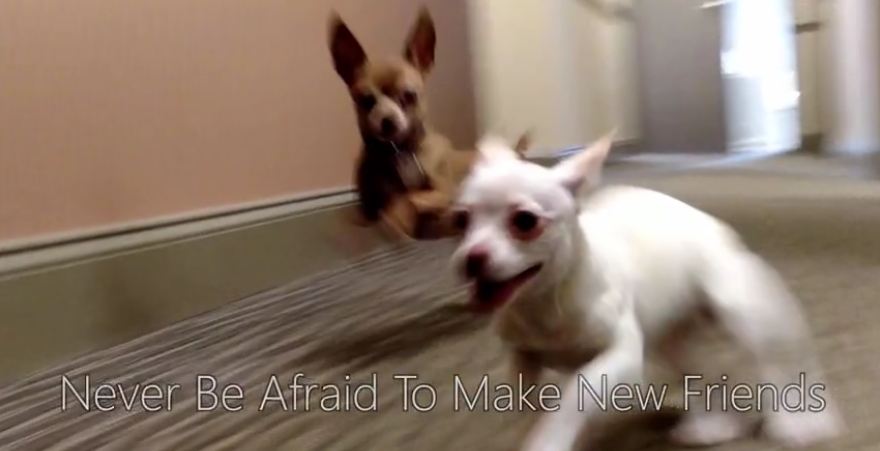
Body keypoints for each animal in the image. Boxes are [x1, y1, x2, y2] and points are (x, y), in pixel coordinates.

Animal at [328, 8, 524, 240]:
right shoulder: (364, 208)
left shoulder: (443, 191)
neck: (400, 151)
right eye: (366, 100)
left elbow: (411, 197)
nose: (388, 121)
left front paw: (402, 215)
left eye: (409, 96)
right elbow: (379, 208)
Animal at [450, 135, 844, 451]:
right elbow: (524, 398)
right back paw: (714, 425)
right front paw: (530, 425)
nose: (472, 258)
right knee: (705, 375)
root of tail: (716, 226)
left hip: (743, 309)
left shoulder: (620, 359)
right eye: (460, 220)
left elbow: (574, 396)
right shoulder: (522, 356)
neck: (545, 301)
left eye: (525, 221)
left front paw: (548, 440)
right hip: (674, 342)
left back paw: (801, 422)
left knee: (784, 363)